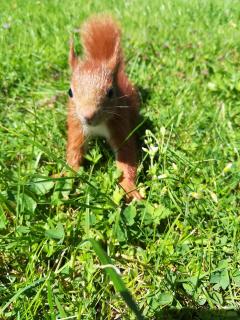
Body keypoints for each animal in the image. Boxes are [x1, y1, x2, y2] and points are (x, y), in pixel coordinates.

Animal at [66, 15, 142, 200]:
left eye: (110, 92)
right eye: (70, 92)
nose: (88, 116)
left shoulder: (119, 123)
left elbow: (126, 155)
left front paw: (129, 187)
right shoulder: (77, 126)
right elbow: (74, 151)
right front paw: (65, 177)